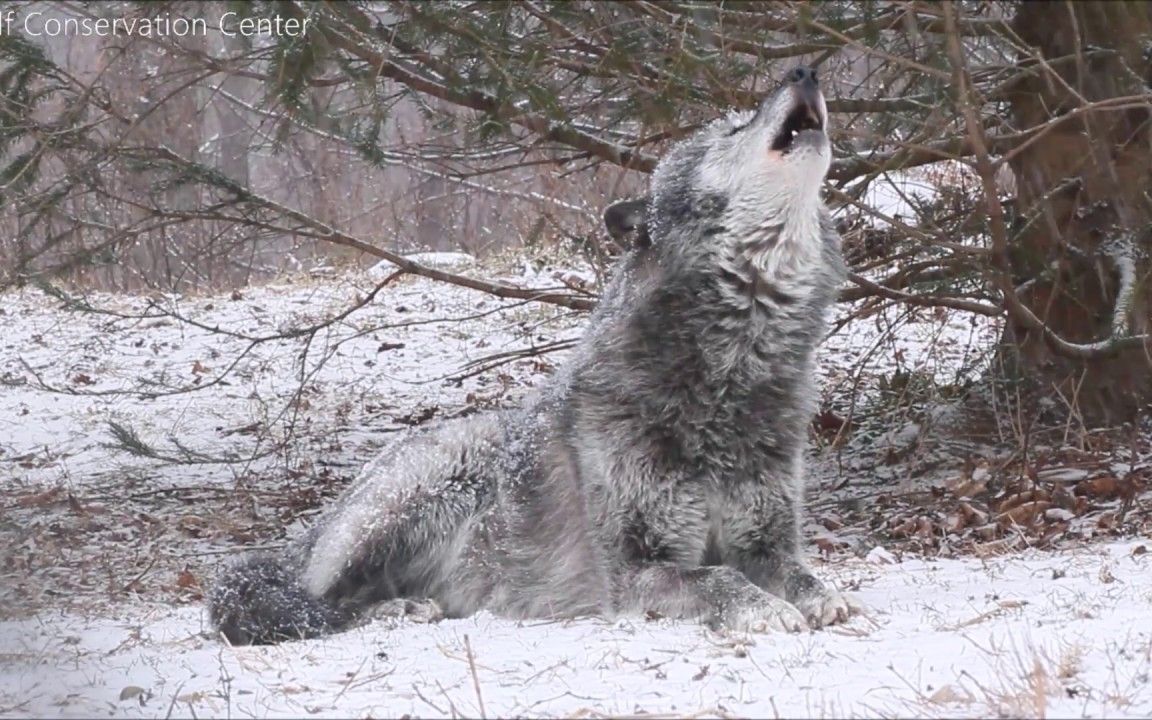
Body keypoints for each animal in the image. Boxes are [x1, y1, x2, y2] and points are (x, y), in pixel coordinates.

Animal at [209, 64, 857, 645]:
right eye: (731, 129)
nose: (806, 71)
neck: (731, 367)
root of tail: (315, 526)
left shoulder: (765, 541)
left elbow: (797, 573)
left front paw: (820, 596)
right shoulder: (634, 570)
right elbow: (718, 577)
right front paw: (762, 610)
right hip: (425, 484)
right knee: (315, 601)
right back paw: (395, 612)